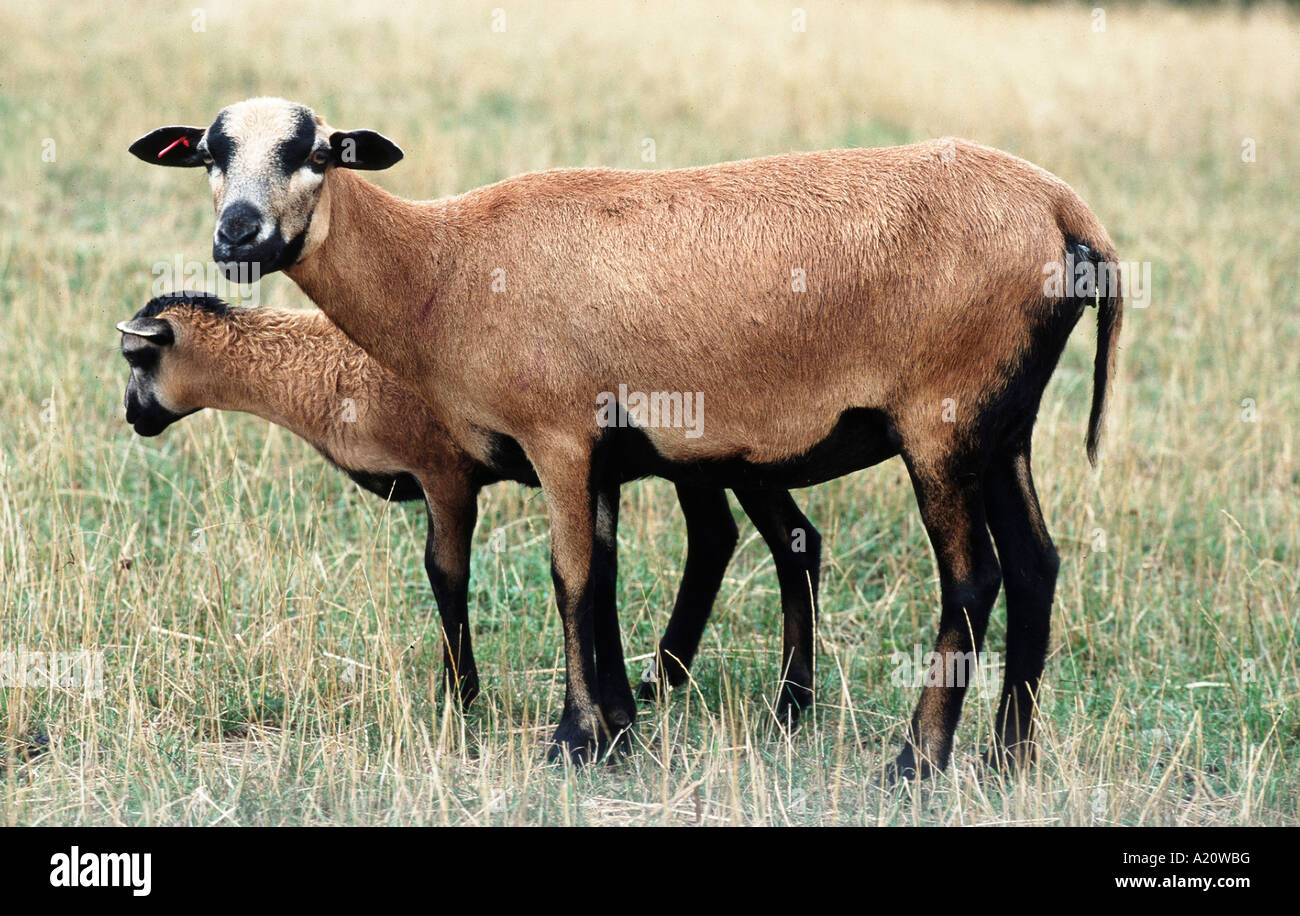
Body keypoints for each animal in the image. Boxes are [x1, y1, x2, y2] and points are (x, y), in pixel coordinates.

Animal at [116, 291, 822, 722]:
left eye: (135, 356)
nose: (132, 417)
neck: (330, 373)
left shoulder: (444, 472)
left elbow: (445, 572)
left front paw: (459, 695)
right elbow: (600, 569)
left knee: (759, 537)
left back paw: (771, 700)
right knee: (747, 536)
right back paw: (705, 686)